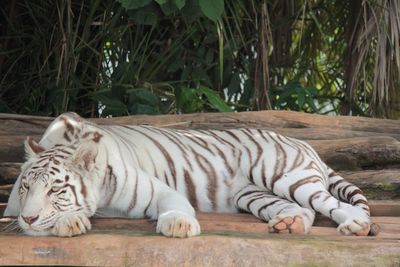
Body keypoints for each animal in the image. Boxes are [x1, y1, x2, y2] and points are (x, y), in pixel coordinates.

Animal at [3, 112, 372, 238]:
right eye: (25, 188)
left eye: (56, 189)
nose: (30, 219)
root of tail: (302, 142)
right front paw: (68, 222)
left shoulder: (160, 190)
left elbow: (175, 208)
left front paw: (179, 226)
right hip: (254, 195)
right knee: (303, 210)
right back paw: (289, 224)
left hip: (282, 174)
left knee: (332, 204)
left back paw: (355, 226)